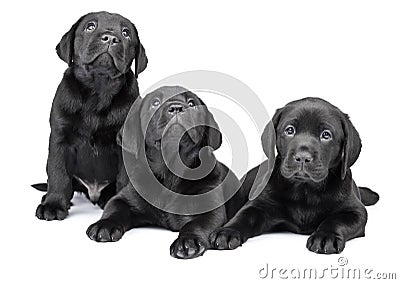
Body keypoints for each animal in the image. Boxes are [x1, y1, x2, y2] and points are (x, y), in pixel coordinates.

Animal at [33, 11, 148, 220]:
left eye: (126, 33)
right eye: (90, 26)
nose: (110, 38)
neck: (99, 89)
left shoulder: (125, 144)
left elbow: (124, 178)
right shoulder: (60, 139)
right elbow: (58, 174)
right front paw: (53, 205)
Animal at [86, 86, 245, 260]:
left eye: (192, 103)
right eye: (155, 103)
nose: (176, 108)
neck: (170, 172)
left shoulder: (209, 209)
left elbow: (195, 224)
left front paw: (188, 241)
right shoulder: (124, 199)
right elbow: (113, 208)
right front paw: (104, 225)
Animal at [211, 97, 380, 253]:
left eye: (326, 135)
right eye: (289, 130)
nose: (303, 157)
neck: (305, 190)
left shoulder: (355, 211)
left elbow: (336, 221)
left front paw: (326, 236)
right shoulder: (258, 205)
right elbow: (243, 216)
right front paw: (227, 232)